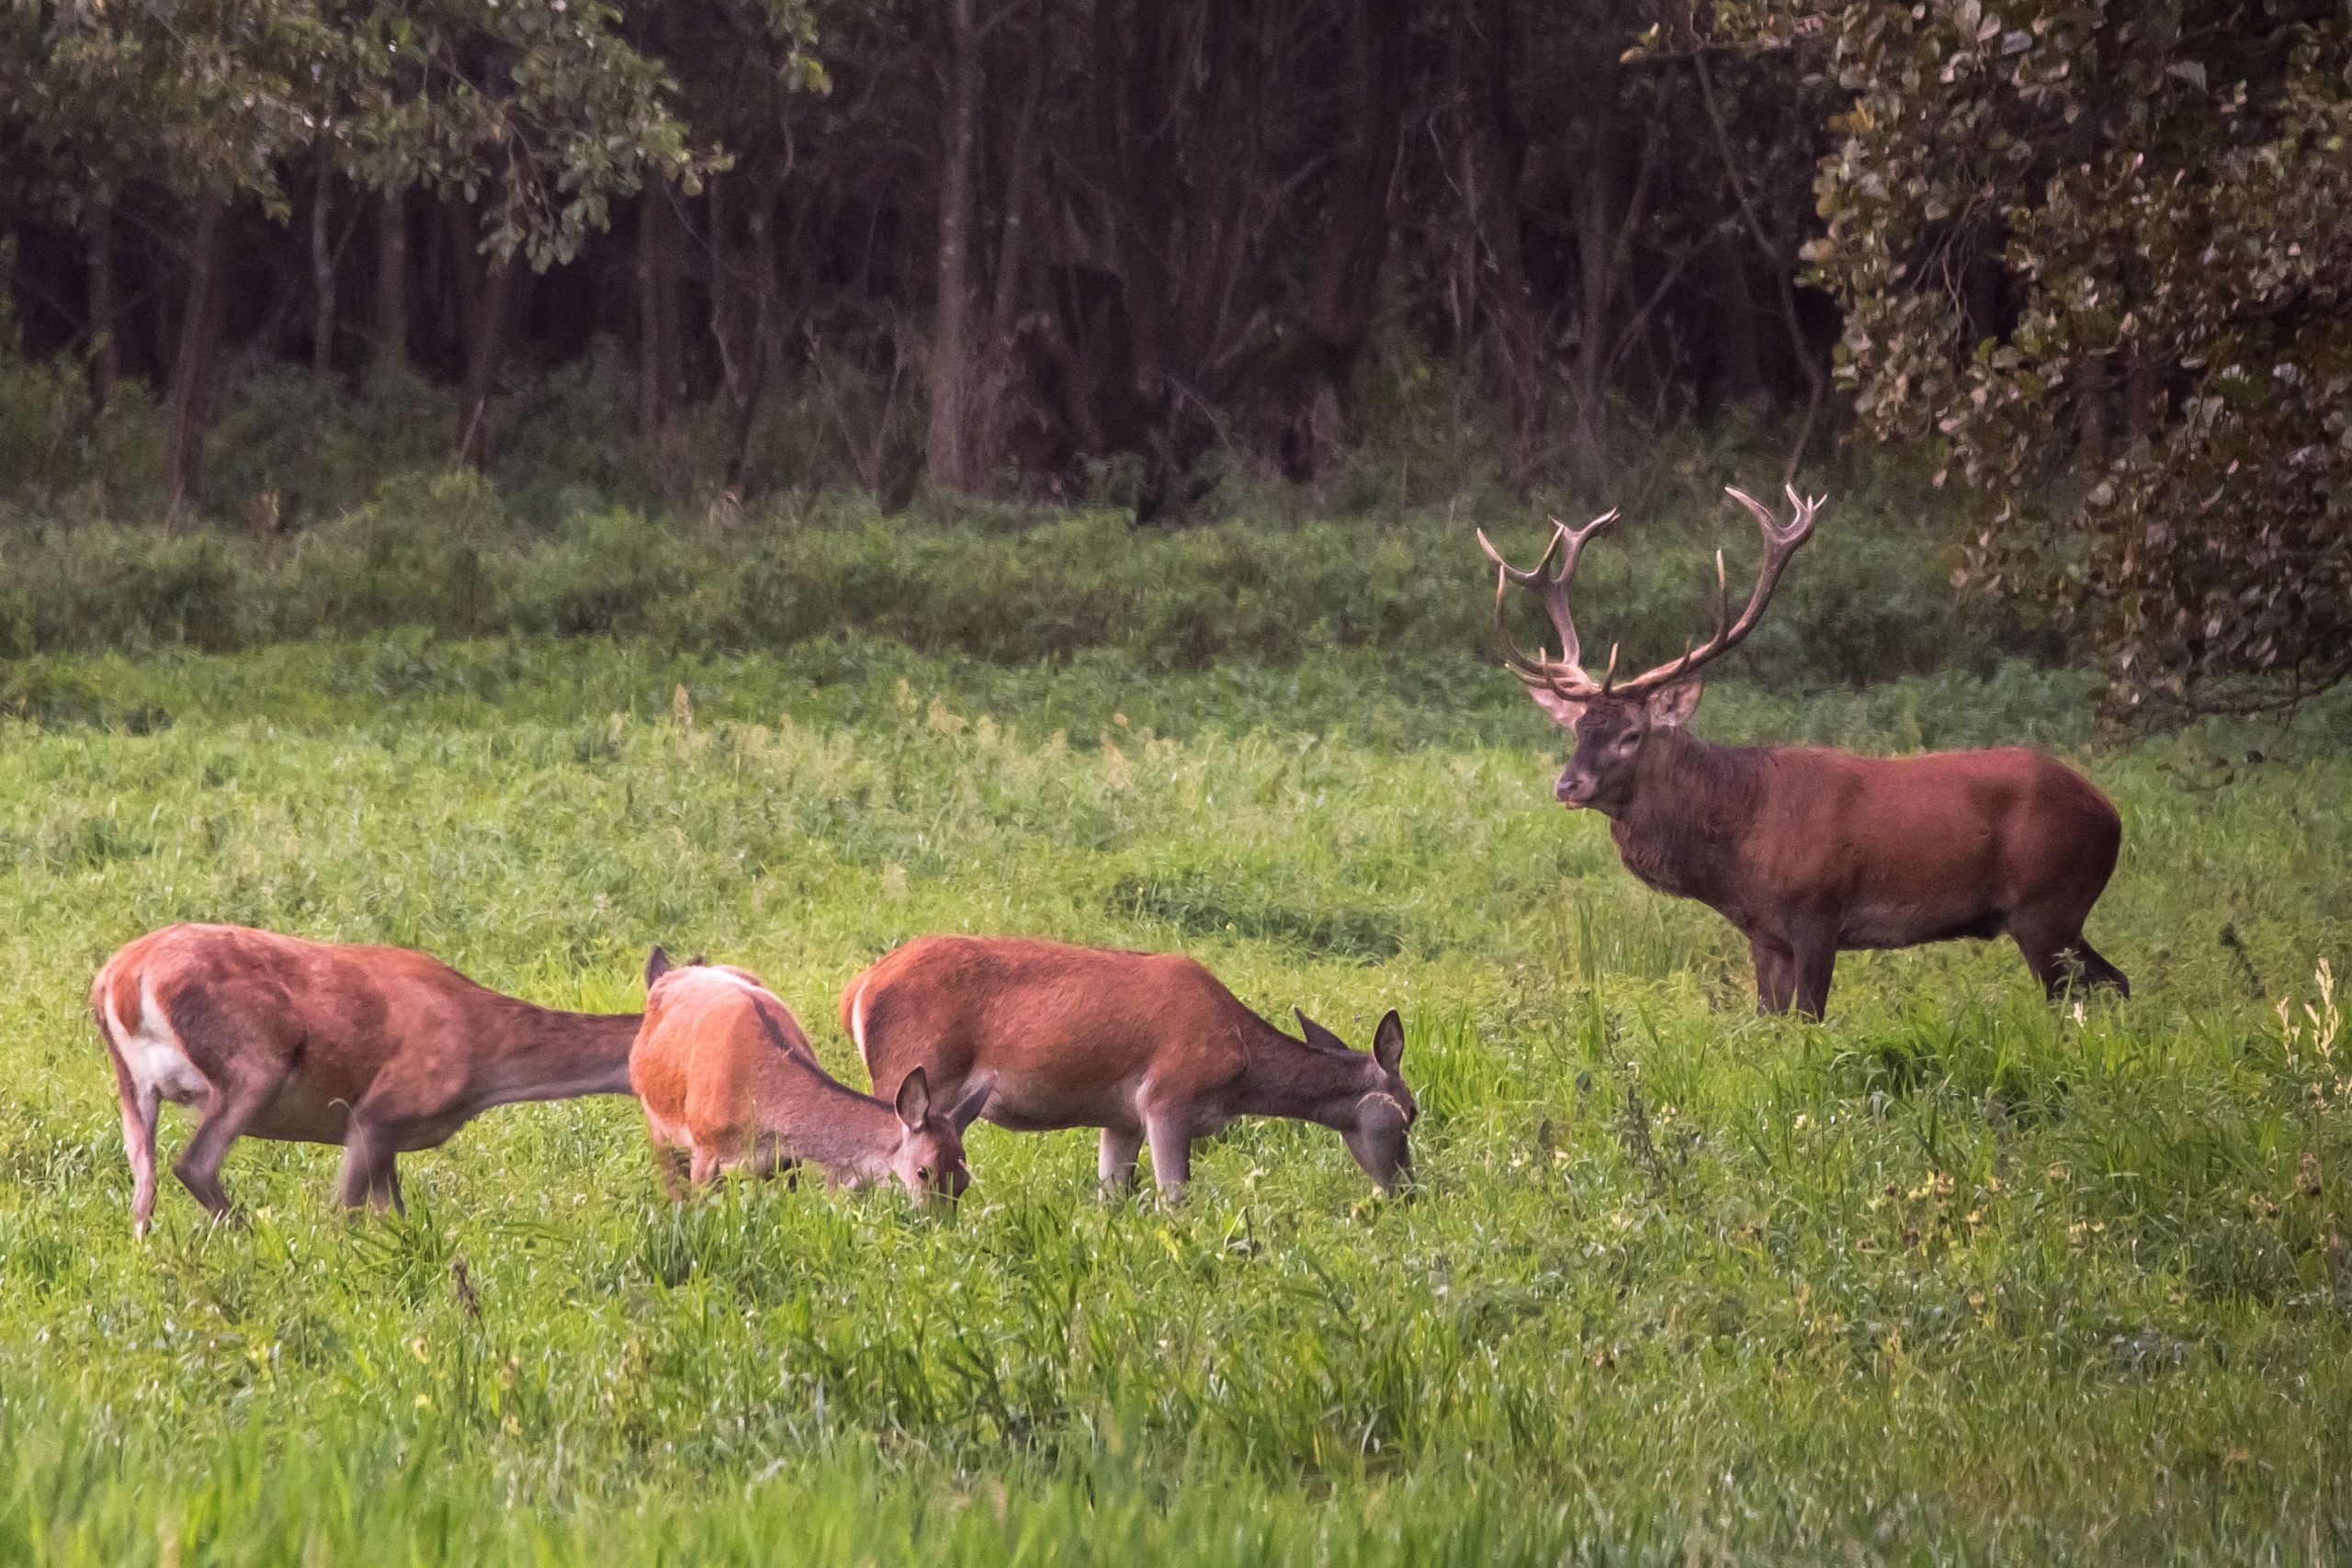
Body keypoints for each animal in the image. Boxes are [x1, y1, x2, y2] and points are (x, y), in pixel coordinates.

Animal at [88, 921, 644, 1241]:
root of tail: (122, 976)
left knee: (144, 1189)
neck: (484, 1056)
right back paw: (257, 1244)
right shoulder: (379, 1109)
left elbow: (391, 1213)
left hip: (131, 1085)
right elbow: (347, 1209)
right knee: (194, 1164)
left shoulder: (391, 1134)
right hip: (253, 1065)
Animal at [842, 931, 1411, 1203]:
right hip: (911, 1073)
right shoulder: (1166, 1098)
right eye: (1412, 1113)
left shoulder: (1121, 1119)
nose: (1409, 1190)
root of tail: (859, 987)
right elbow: (1175, 1198)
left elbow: (1111, 1196)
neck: (1243, 1066)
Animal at [1486, 493, 2135, 1029]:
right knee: (2117, 982)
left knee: (2076, 994)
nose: (1568, 785)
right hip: (2058, 913)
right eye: (1578, 729)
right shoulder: (1765, 933)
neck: (1738, 839)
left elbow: (1809, 1020)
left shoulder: (1819, 911)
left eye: (1630, 735)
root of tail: (2111, 813)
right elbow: (1768, 1022)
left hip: (2048, 901)